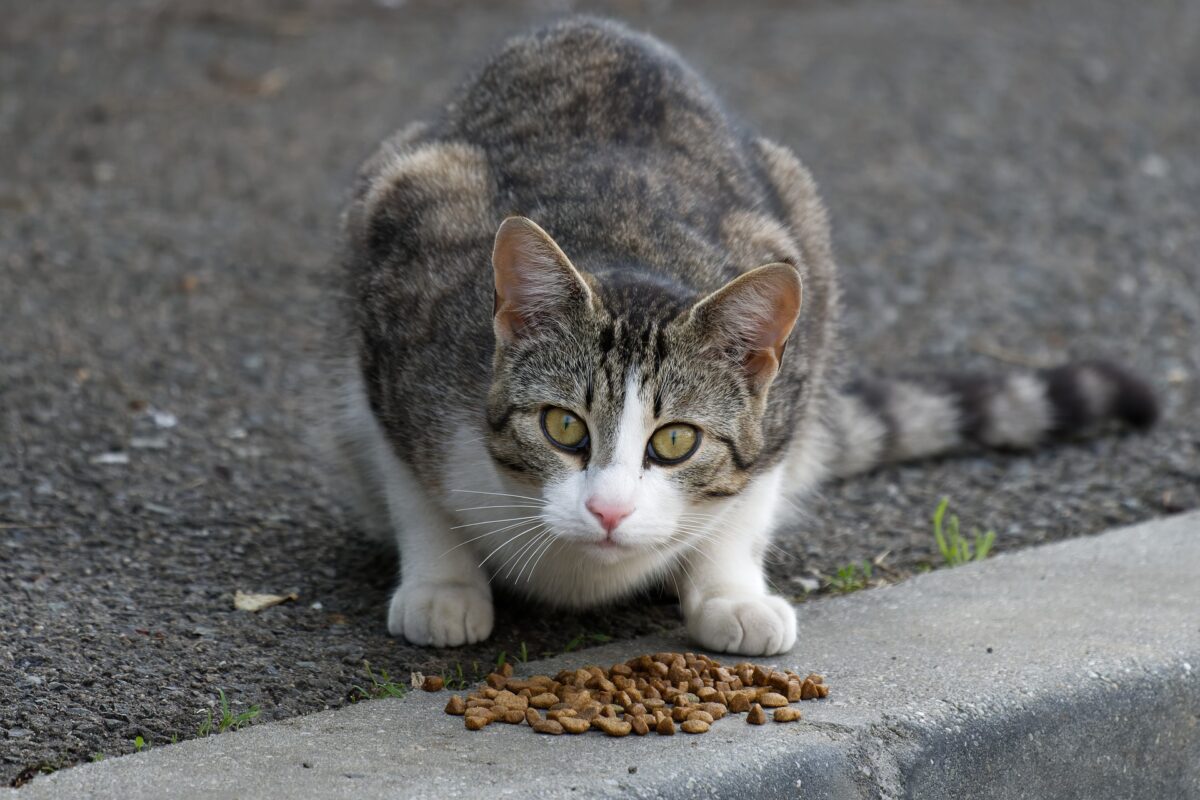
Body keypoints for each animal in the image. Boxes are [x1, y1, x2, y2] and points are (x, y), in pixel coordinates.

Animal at [316, 17, 1152, 657]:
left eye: (675, 442)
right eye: (563, 427)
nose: (609, 512)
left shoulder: (794, 356)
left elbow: (750, 494)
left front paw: (729, 591)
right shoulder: (399, 316)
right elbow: (411, 486)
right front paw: (443, 584)